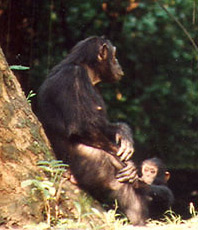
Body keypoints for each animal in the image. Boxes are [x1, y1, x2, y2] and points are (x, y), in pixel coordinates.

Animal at [38, 36, 148, 225]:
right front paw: (131, 165)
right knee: (117, 184)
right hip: (84, 164)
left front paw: (124, 134)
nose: (118, 63)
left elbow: (102, 123)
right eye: (114, 54)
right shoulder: (72, 77)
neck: (87, 71)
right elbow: (80, 127)